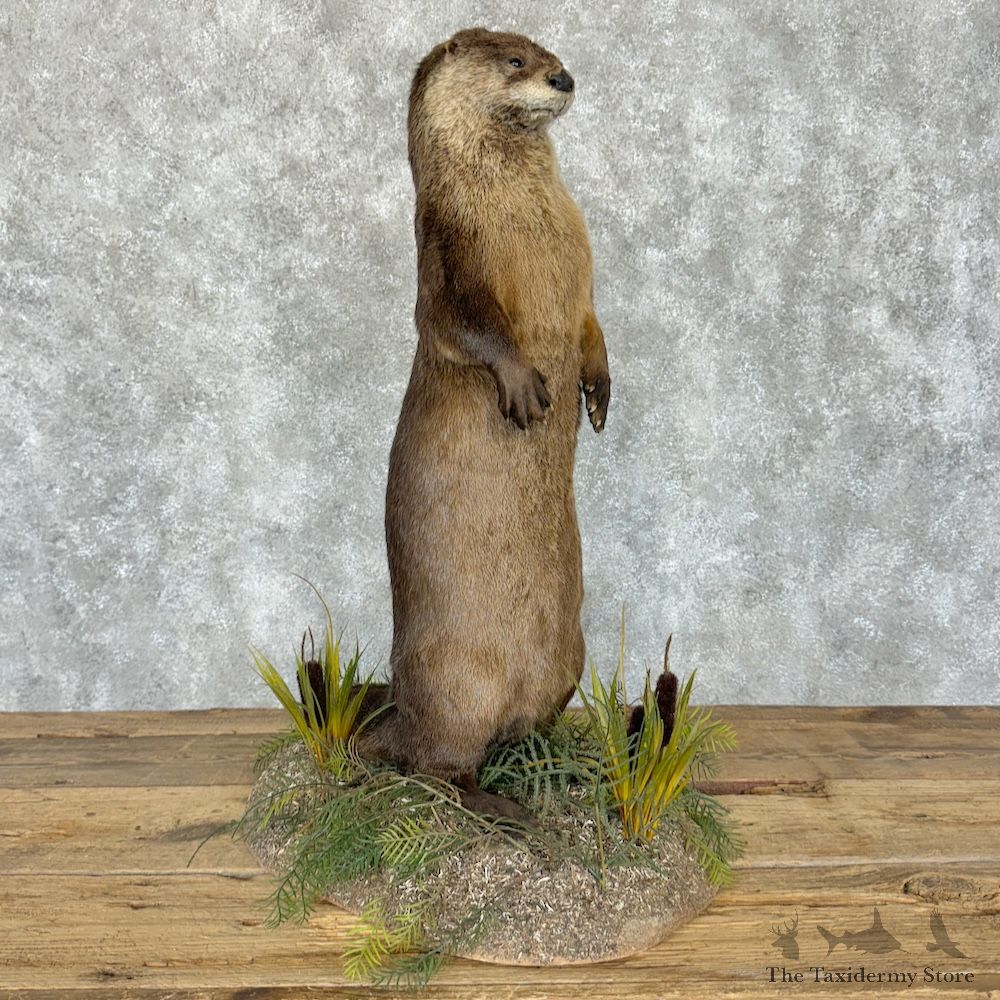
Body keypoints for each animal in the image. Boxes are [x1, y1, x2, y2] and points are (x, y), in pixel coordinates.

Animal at [360, 27, 611, 818]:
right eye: (515, 61)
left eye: (548, 50)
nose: (564, 78)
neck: (523, 209)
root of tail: (400, 712)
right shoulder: (447, 249)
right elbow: (460, 323)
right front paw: (526, 386)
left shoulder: (584, 277)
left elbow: (590, 325)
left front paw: (597, 389)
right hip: (454, 677)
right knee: (435, 763)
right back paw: (500, 808)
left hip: (569, 658)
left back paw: (560, 763)